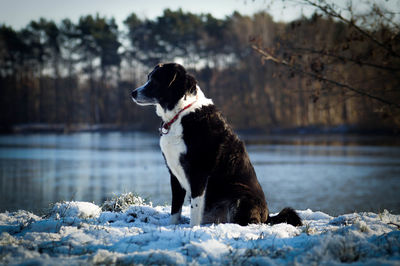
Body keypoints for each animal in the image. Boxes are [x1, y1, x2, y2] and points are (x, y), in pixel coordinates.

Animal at [133, 62, 302, 227]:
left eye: (155, 80)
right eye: (148, 78)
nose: (133, 93)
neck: (181, 113)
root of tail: (267, 216)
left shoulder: (198, 172)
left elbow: (195, 208)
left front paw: (192, 228)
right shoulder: (174, 173)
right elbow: (175, 208)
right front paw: (172, 228)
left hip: (240, 194)